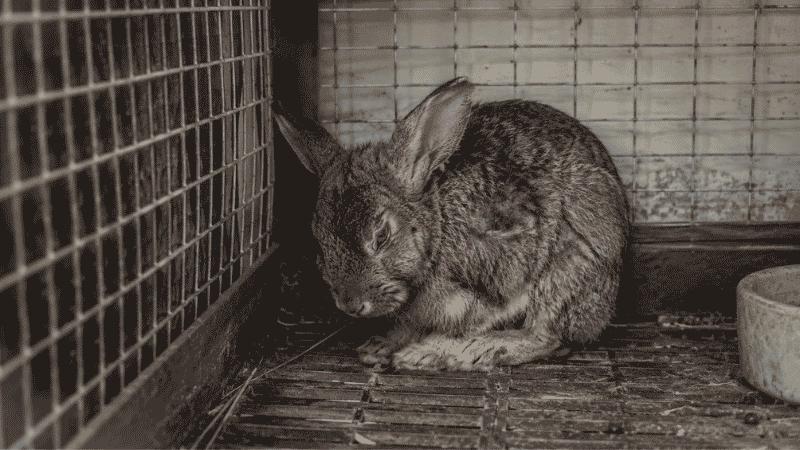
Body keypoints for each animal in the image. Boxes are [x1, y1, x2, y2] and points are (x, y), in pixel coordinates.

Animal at [273, 77, 629, 371]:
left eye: (381, 235)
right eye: (318, 241)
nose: (351, 305)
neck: (437, 223)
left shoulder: (494, 279)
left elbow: (474, 323)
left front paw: (428, 352)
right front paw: (379, 347)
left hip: (569, 269)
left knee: (546, 337)